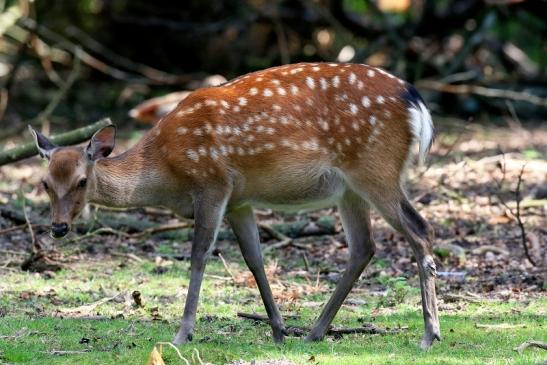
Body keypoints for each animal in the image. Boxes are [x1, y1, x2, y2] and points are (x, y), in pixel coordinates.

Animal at [30, 61, 440, 346]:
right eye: (45, 183)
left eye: (82, 181)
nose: (58, 227)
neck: (167, 171)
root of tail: (416, 100)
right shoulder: (240, 201)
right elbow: (254, 258)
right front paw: (278, 330)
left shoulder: (212, 182)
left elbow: (199, 255)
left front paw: (183, 334)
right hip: (350, 189)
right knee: (363, 247)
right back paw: (314, 332)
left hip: (374, 168)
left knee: (420, 229)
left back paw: (429, 335)